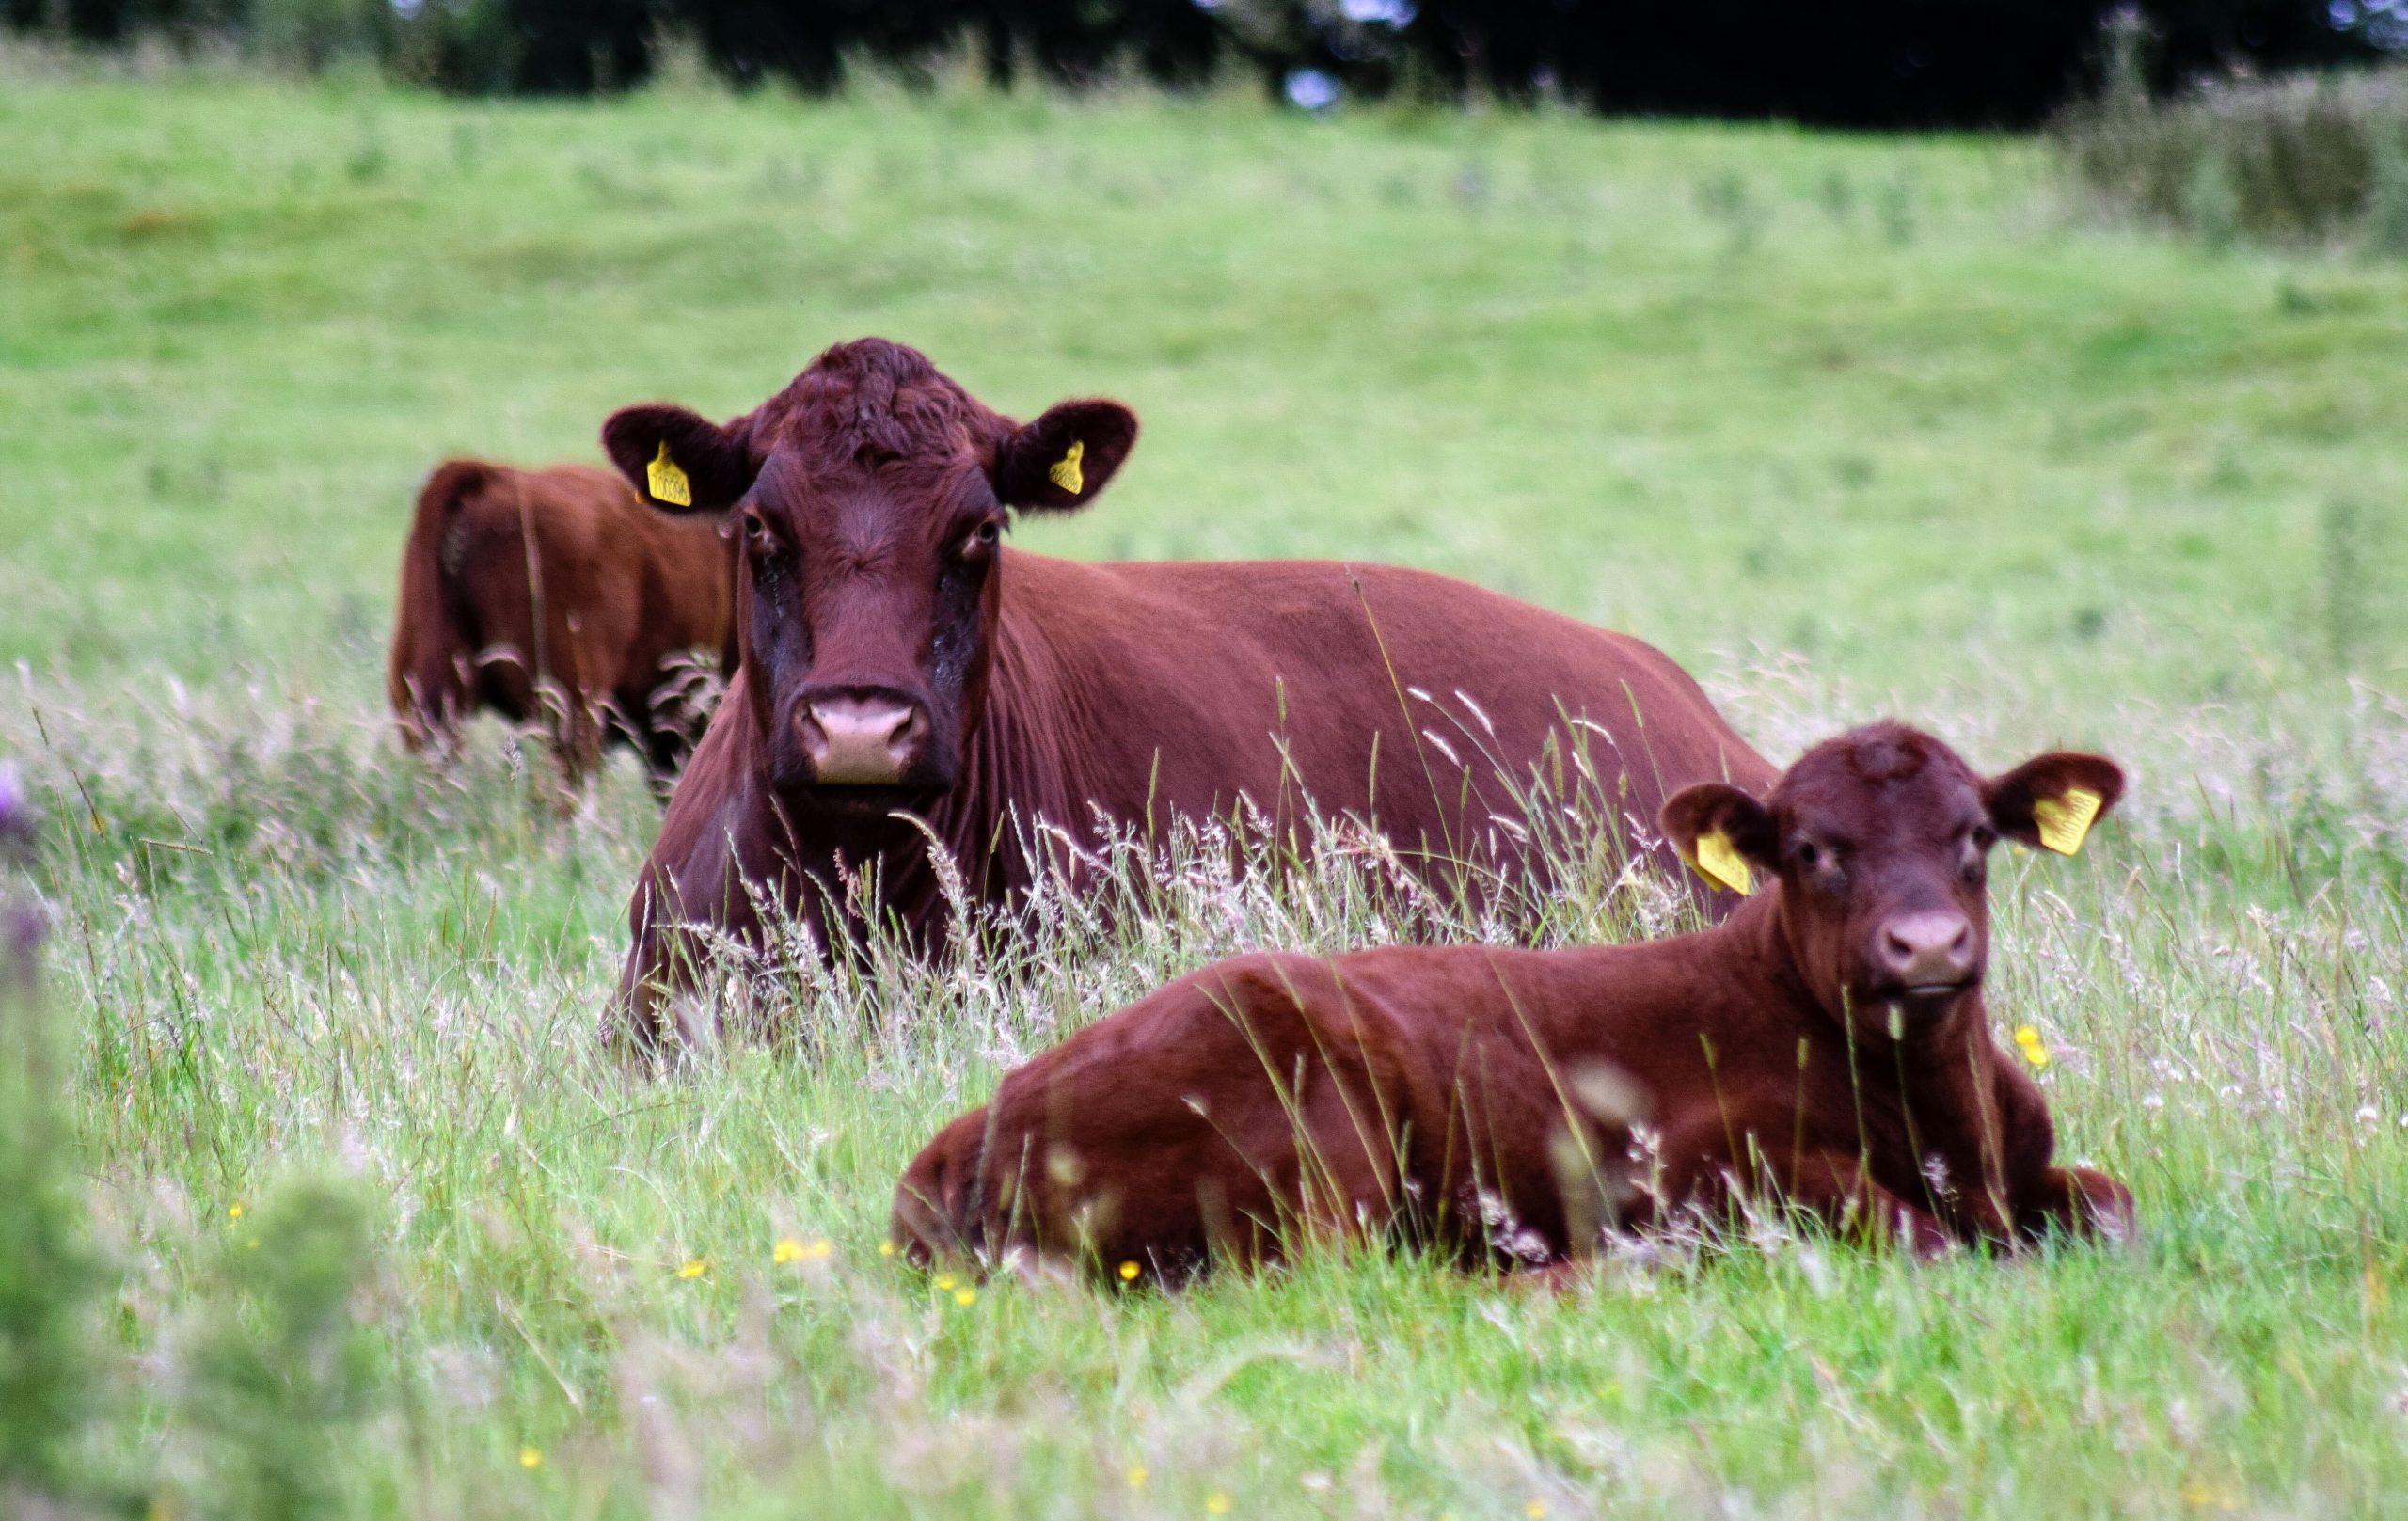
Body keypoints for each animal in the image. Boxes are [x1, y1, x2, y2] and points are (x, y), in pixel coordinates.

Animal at [895, 717, 2138, 1280]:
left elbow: (2109, 1201)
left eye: (1974, 836)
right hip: (1322, 1147)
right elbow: (1910, 1232)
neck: (1943, 1121)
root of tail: (973, 1126)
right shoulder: (1702, 1164)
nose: (1925, 944)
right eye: (1812, 850)